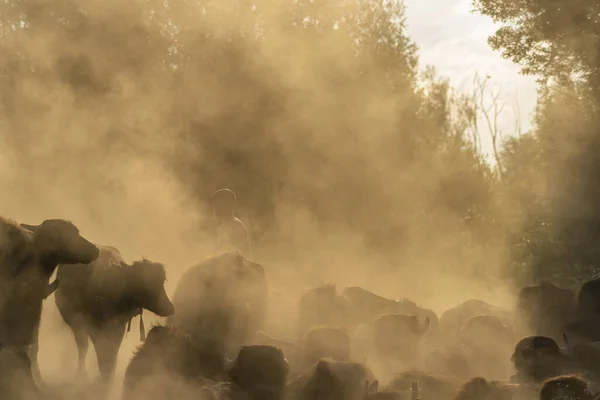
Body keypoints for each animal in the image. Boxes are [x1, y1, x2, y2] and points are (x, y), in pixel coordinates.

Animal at [47, 245, 173, 382]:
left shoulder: (118, 327)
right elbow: (101, 352)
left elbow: (112, 352)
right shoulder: (94, 327)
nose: (169, 308)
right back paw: (80, 374)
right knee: (82, 346)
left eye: (162, 281)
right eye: (142, 282)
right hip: (75, 320)